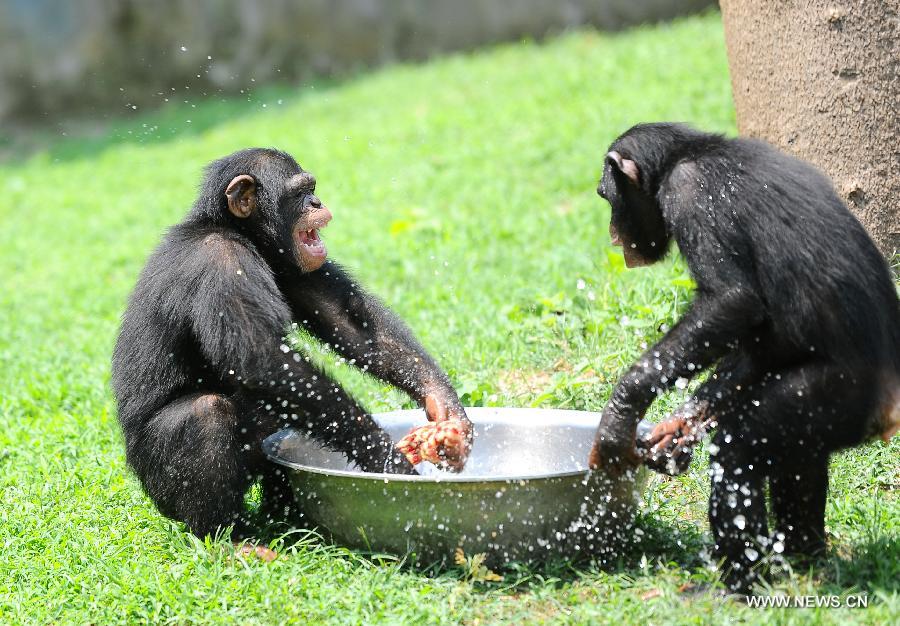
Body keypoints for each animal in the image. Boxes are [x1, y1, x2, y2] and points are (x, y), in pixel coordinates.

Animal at [592, 123, 900, 588]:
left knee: (738, 451)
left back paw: (738, 583)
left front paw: (620, 413)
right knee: (800, 455)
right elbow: (755, 347)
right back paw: (802, 558)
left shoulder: (689, 193)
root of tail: (890, 408)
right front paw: (680, 426)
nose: (612, 231)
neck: (687, 153)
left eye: (606, 195)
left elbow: (732, 302)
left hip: (840, 395)